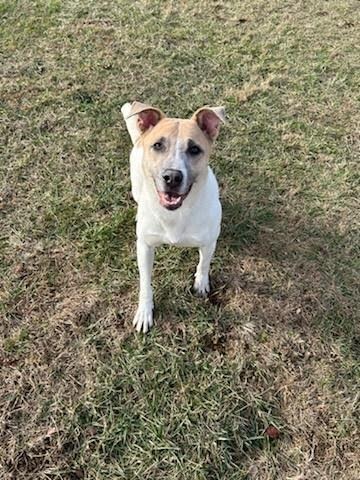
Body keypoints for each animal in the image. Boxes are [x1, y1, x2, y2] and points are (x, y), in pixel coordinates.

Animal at [122, 100, 224, 334]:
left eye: (194, 149)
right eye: (158, 145)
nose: (172, 177)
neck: (176, 213)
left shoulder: (209, 241)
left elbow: (204, 264)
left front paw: (201, 283)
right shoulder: (144, 247)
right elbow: (145, 282)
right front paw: (144, 311)